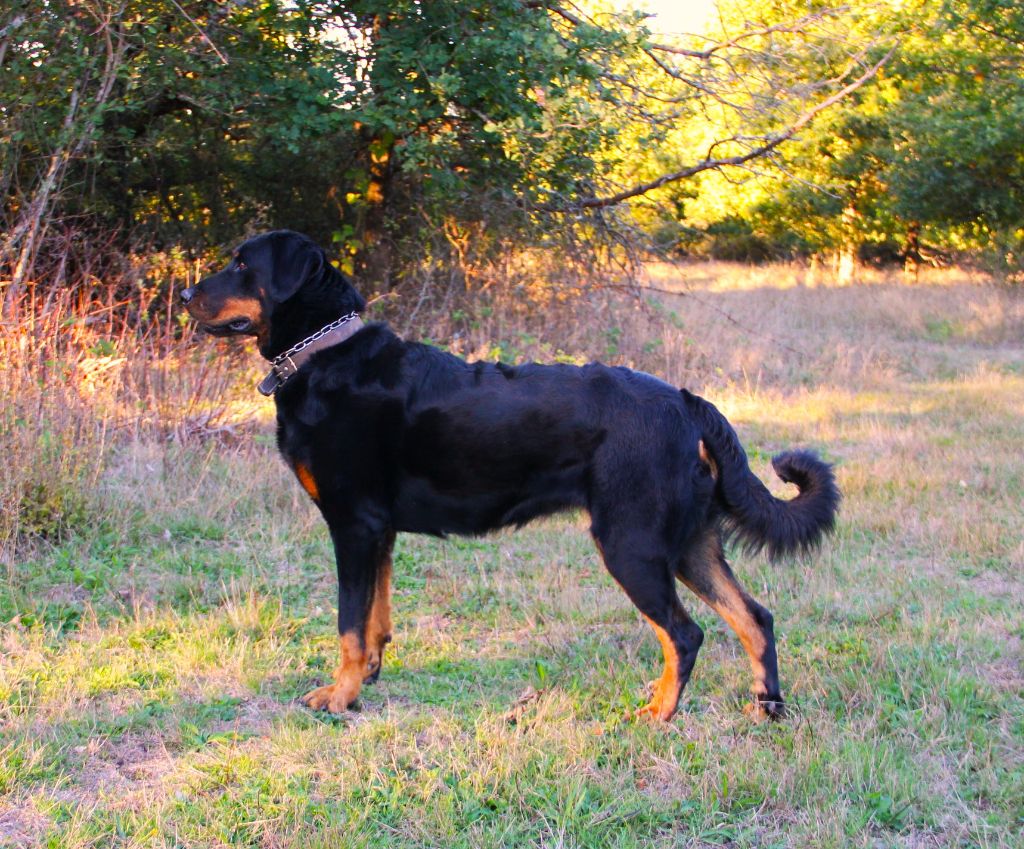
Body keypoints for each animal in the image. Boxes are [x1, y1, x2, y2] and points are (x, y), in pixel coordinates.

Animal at [182, 231, 839, 720]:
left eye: (242, 264)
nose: (186, 292)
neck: (325, 353)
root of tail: (685, 401)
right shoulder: (379, 532)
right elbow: (374, 619)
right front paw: (366, 678)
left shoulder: (354, 525)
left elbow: (348, 623)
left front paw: (339, 697)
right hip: (688, 543)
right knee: (754, 619)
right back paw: (767, 707)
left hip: (632, 544)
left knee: (684, 634)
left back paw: (658, 714)